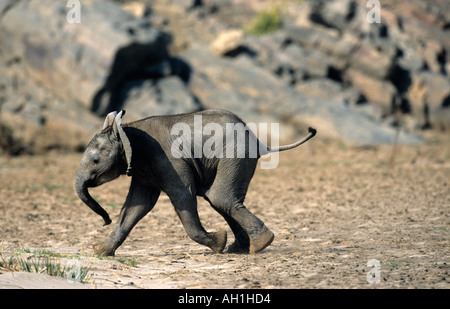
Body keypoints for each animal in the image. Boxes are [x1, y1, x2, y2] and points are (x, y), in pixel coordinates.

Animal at [74, 109, 316, 255]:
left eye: (95, 161)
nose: (105, 221)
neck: (127, 130)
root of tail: (259, 141)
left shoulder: (168, 159)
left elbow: (182, 195)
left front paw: (218, 242)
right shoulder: (143, 170)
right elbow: (137, 205)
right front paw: (101, 251)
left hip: (235, 155)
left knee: (220, 198)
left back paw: (259, 244)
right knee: (221, 200)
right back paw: (239, 248)